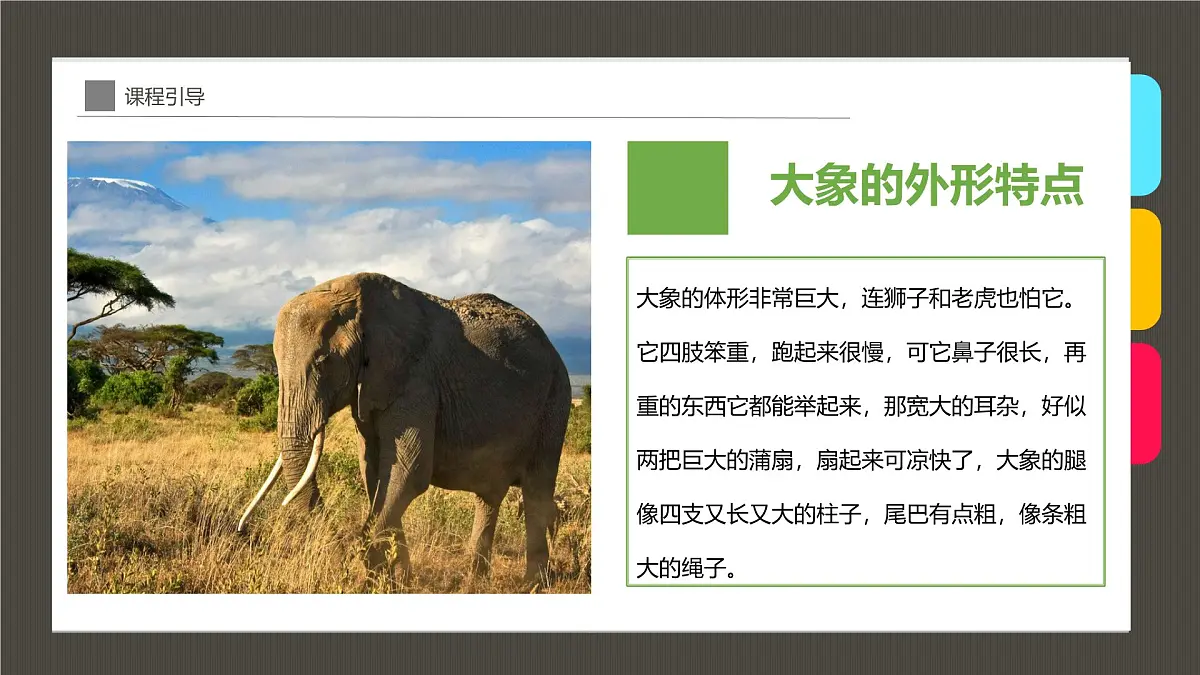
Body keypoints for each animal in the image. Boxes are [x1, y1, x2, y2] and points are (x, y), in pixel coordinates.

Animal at [236, 272, 572, 586]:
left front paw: (373, 578)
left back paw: (533, 584)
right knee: (489, 496)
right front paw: (398, 580)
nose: (242, 531)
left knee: (536, 491)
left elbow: (408, 473)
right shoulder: (372, 389)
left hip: (555, 402)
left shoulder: (417, 380)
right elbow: (374, 472)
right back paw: (476, 580)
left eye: (324, 361)